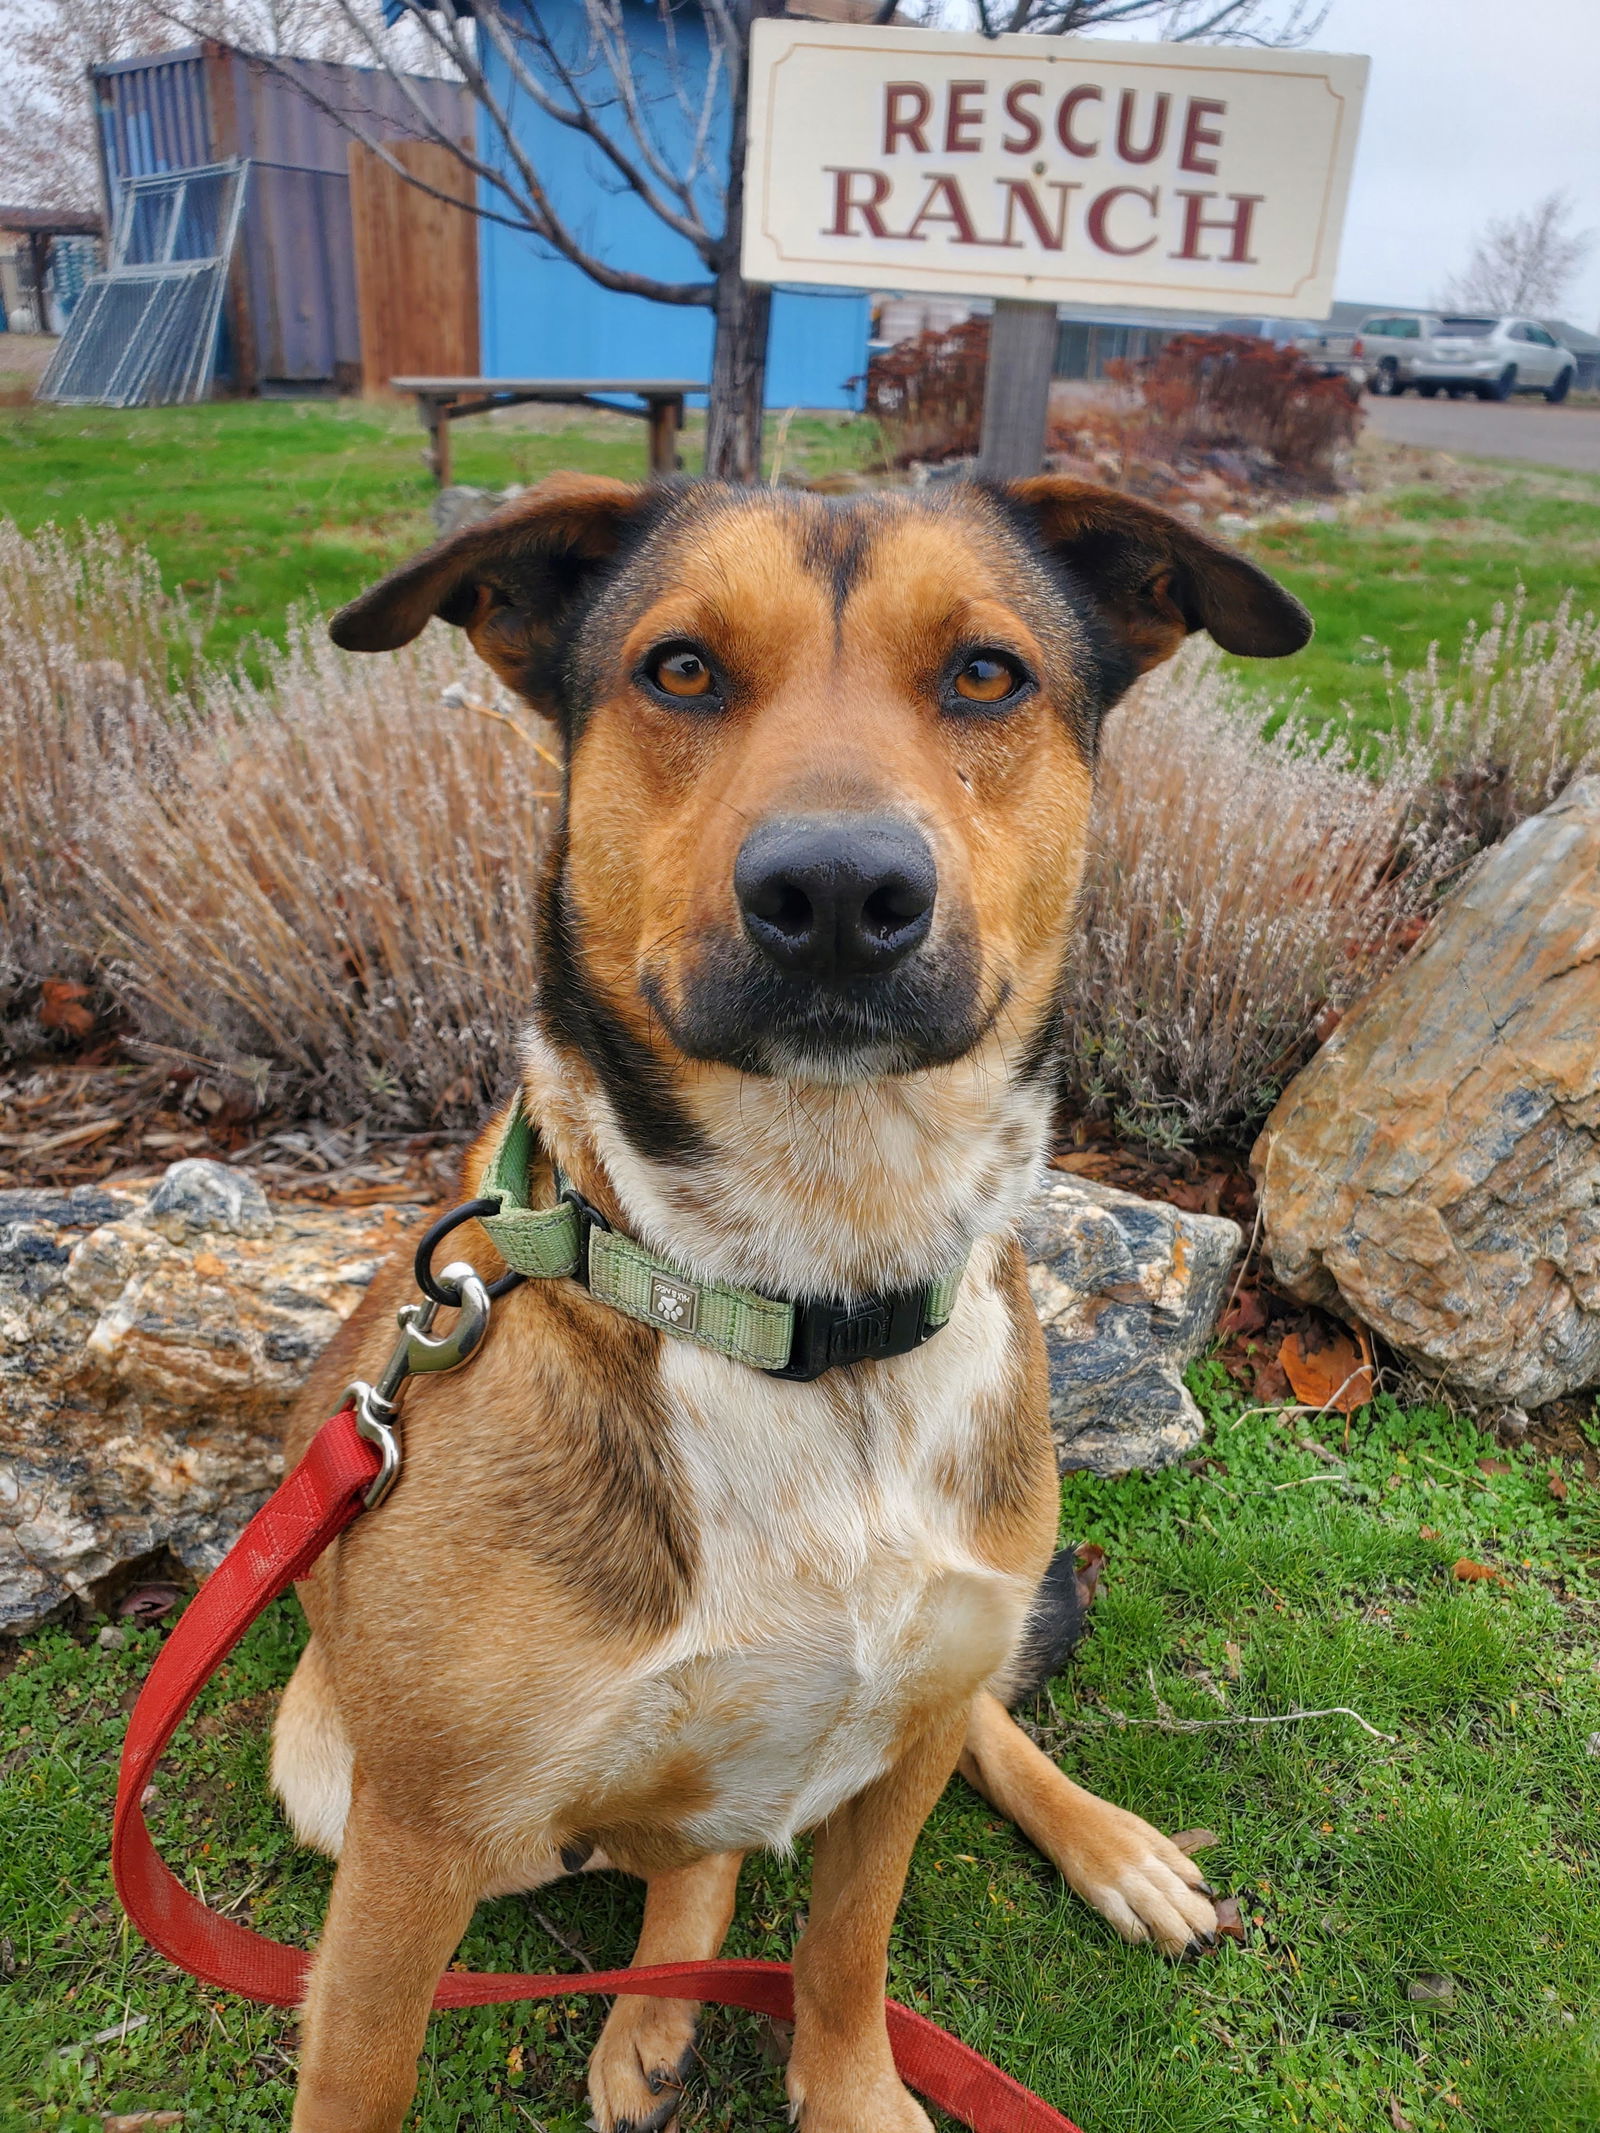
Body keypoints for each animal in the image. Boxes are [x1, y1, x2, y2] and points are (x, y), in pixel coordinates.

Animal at [269, 471, 1305, 2133]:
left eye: (986, 673)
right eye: (681, 668)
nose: (835, 891)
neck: (815, 1290)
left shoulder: (904, 1749)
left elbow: (843, 1951)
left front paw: (856, 2090)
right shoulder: (410, 1842)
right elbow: (363, 2075)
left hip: (937, 1664)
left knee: (956, 1725)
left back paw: (1114, 1849)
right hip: (338, 1769)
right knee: (685, 1850)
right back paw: (651, 2019)